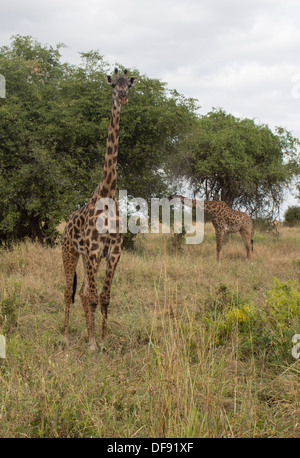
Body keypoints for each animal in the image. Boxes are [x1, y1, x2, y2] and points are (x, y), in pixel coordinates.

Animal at [62, 67, 139, 350]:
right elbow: (94, 297)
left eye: (129, 84)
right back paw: (65, 334)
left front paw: (103, 340)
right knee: (69, 292)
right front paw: (93, 344)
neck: (108, 193)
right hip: (70, 252)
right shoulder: (95, 252)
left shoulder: (113, 253)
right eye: (113, 85)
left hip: (86, 258)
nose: (123, 96)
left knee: (84, 292)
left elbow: (105, 297)